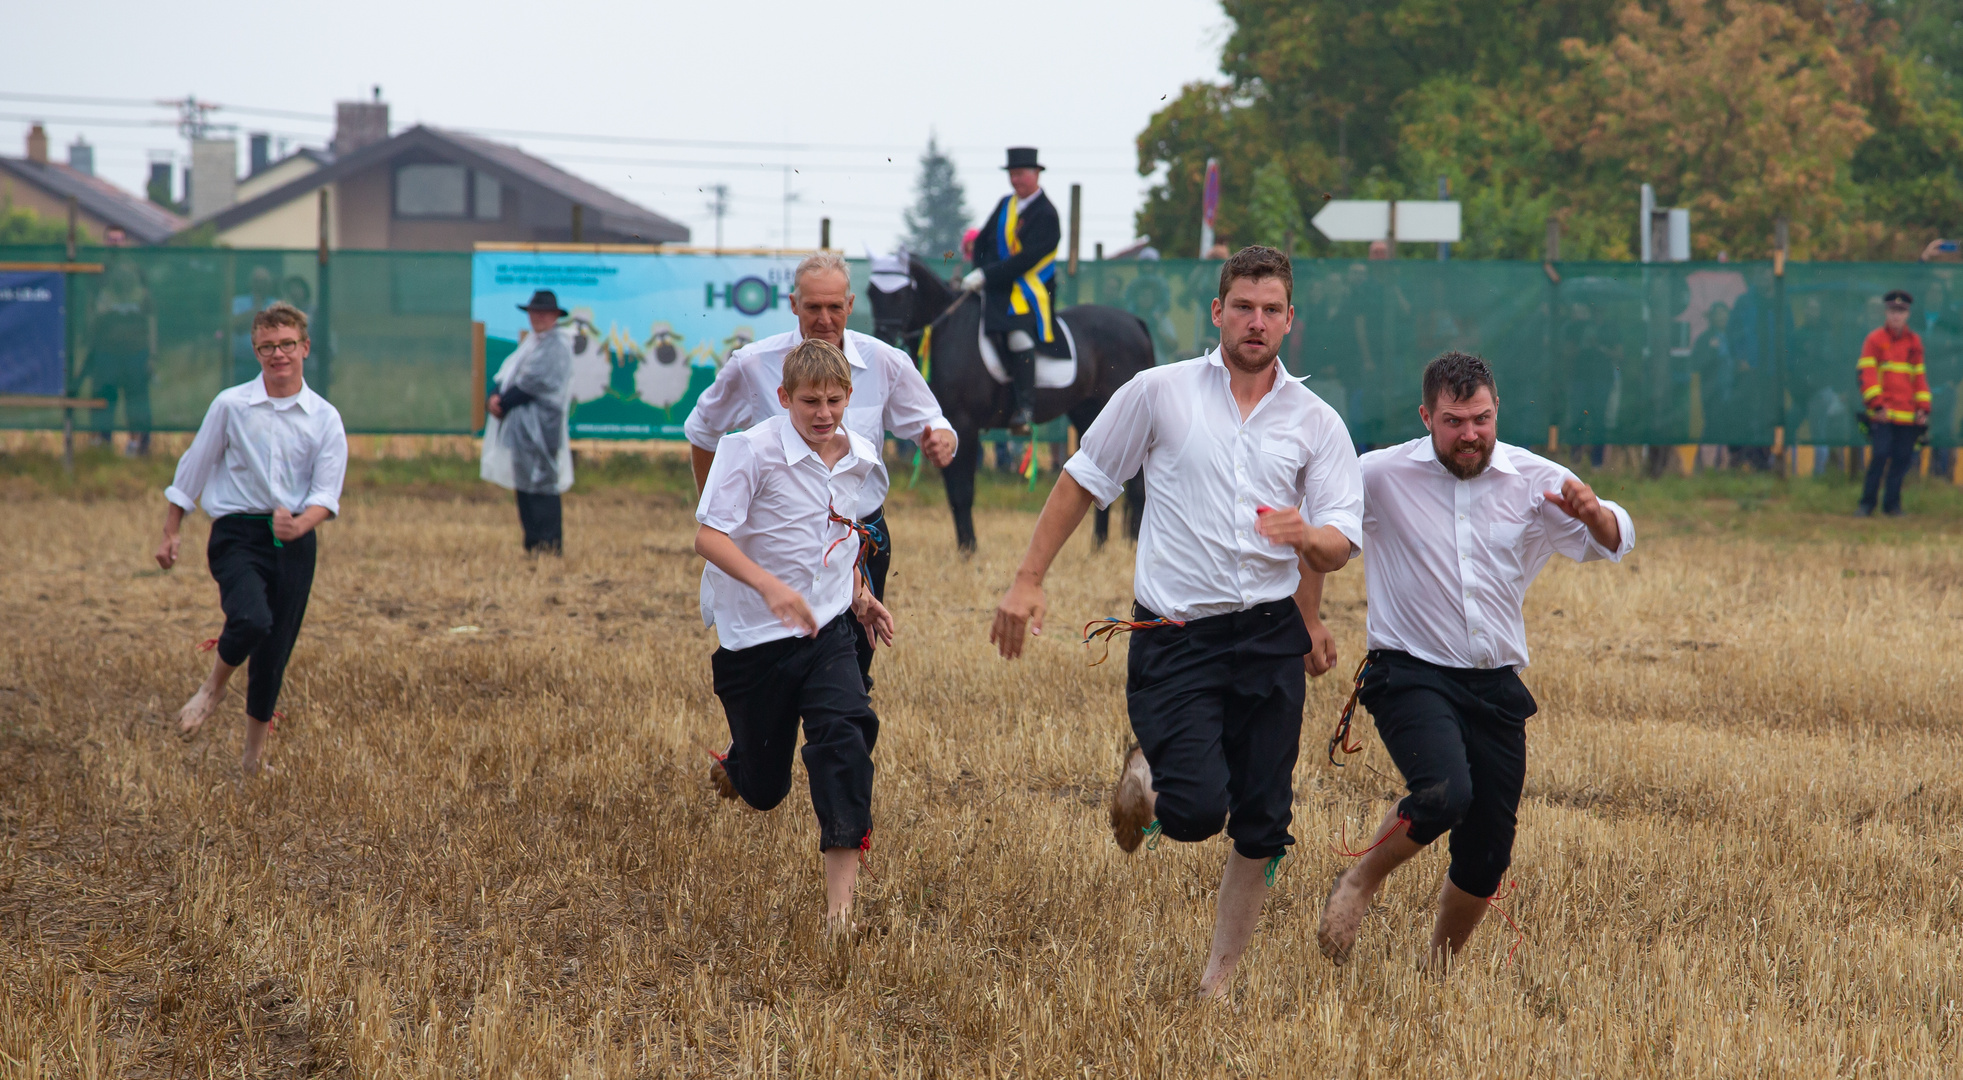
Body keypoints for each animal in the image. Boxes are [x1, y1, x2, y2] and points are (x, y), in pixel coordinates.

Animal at [871, 259, 1146, 553]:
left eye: (900, 295)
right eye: (870, 293)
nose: (882, 340)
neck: (949, 331)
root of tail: (1134, 322)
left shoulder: (964, 424)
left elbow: (962, 491)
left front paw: (969, 550)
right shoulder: (942, 428)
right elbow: (953, 492)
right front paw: (964, 548)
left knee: (1137, 487)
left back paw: (1132, 544)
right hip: (1089, 415)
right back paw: (1099, 547)